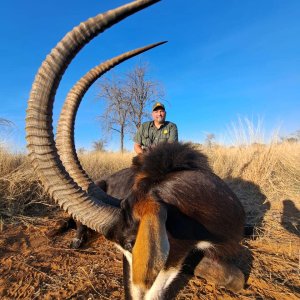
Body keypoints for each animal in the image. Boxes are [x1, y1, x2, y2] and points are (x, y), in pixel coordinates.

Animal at [25, 1, 246, 298]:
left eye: (132, 242)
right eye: (125, 247)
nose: (134, 295)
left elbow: (233, 276)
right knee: (74, 222)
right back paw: (71, 235)